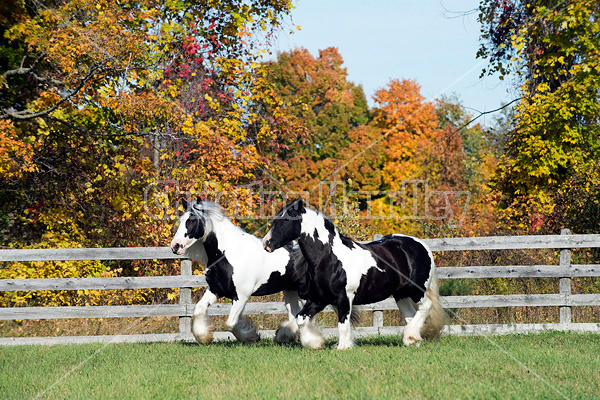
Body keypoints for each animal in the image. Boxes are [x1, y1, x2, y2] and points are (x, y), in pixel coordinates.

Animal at [170, 200, 308, 344]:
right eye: (181, 220)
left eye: (193, 220)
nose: (175, 246)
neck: (228, 254)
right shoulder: (215, 289)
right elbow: (199, 309)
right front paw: (204, 337)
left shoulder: (241, 296)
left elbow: (231, 323)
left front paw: (251, 337)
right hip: (290, 290)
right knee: (294, 315)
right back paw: (285, 337)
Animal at [262, 198, 446, 348]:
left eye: (286, 219)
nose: (266, 243)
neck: (329, 258)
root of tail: (421, 245)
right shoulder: (318, 299)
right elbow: (301, 319)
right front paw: (315, 343)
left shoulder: (344, 298)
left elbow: (343, 325)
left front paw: (344, 347)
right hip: (401, 294)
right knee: (411, 316)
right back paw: (411, 339)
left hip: (416, 290)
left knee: (427, 306)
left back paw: (412, 338)